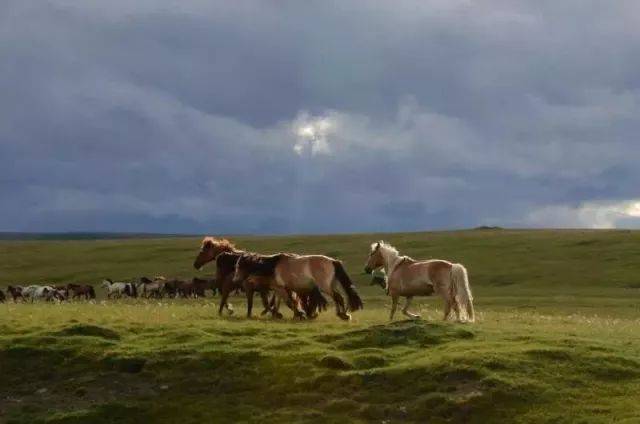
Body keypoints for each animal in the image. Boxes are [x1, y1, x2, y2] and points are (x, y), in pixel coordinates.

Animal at [234, 253, 364, 320]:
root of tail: (332, 261)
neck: (273, 267)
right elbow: (281, 302)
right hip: (331, 285)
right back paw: (343, 314)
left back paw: (343, 315)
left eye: (238, 266)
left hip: (325, 287)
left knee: (338, 297)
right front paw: (278, 314)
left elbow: (290, 302)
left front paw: (299, 314)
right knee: (340, 297)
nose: (236, 280)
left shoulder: (283, 288)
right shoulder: (281, 288)